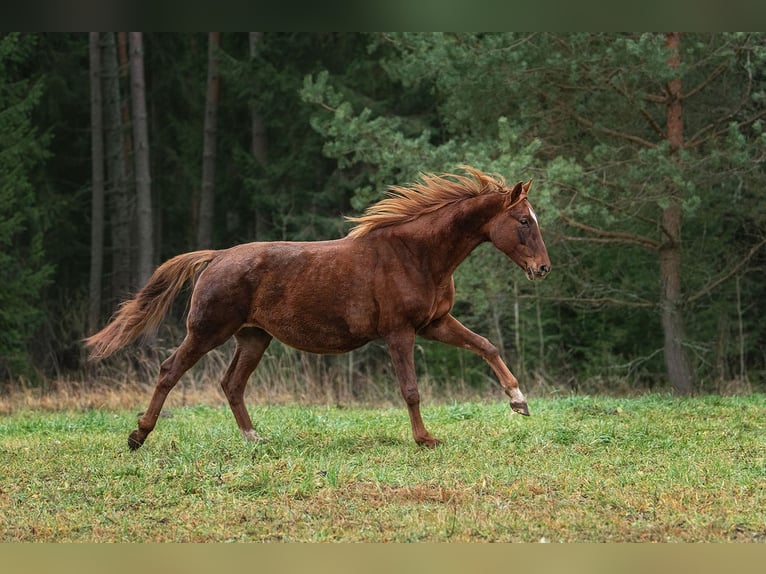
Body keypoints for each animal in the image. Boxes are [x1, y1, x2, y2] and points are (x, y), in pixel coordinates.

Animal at [85, 166, 552, 450]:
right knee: (170, 371)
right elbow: (411, 389)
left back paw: (254, 438)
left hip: (253, 338)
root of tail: (216, 256)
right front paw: (426, 439)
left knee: (231, 383)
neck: (416, 254)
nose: (543, 268)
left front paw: (519, 401)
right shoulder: (399, 331)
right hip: (206, 331)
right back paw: (138, 435)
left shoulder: (434, 323)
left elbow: (486, 345)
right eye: (523, 221)